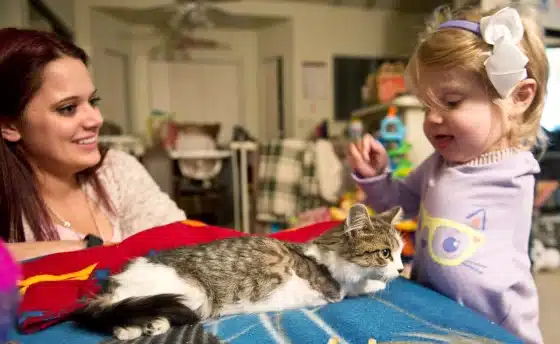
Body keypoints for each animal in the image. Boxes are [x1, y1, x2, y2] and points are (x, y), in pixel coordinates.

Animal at [71, 203, 402, 340]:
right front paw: (379, 283)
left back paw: (145, 328)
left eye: (400, 251)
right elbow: (359, 287)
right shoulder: (333, 289)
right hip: (193, 295)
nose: (400, 268)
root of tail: (114, 284)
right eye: (386, 253)